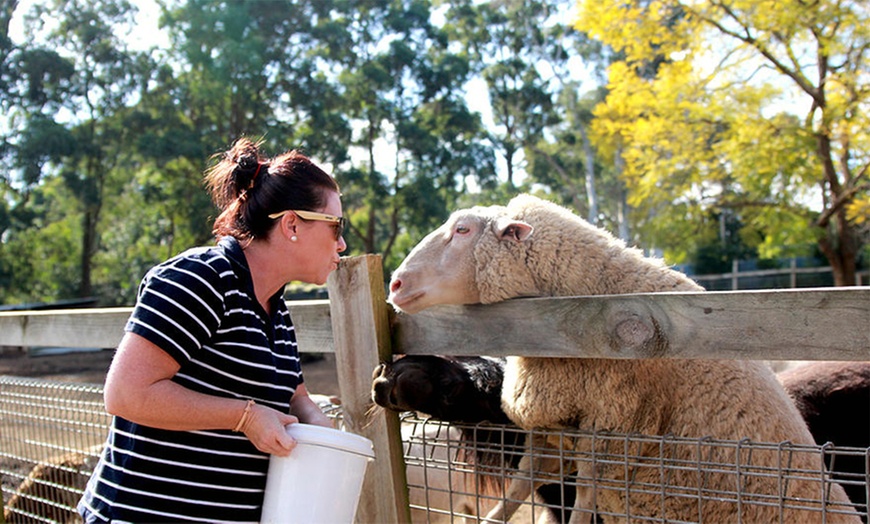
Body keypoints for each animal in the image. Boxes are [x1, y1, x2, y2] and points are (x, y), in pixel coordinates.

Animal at [388, 194, 860, 524]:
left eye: (462, 230)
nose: (394, 283)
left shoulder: (610, 433)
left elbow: (581, 502)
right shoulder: (550, 425)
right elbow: (523, 481)